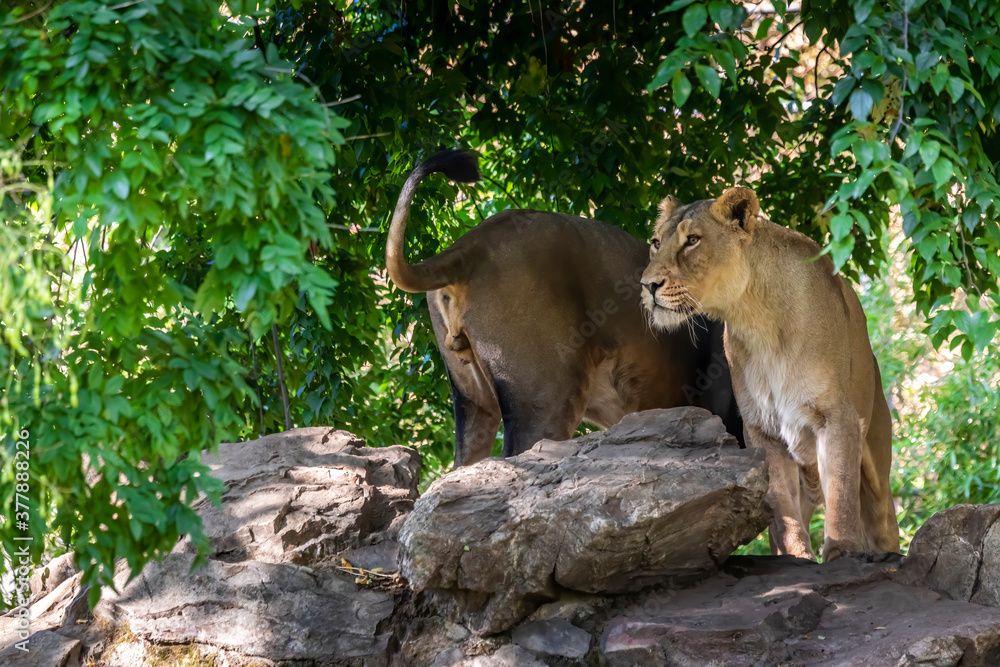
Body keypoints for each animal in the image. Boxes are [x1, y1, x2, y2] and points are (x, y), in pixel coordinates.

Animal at [640, 186, 900, 561]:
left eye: (692, 240)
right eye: (656, 242)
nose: (647, 285)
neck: (756, 319)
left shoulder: (837, 418)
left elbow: (842, 492)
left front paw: (842, 551)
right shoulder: (761, 428)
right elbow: (781, 507)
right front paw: (797, 557)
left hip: (877, 466)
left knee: (881, 519)